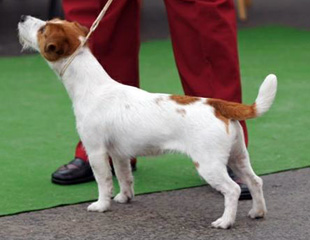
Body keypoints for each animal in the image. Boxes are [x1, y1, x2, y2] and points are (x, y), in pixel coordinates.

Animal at [18, 15, 278, 229]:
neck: (92, 86)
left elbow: (103, 181)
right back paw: (258, 212)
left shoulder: (96, 151)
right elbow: (124, 177)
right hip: (237, 156)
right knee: (255, 181)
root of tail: (216, 104)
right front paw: (124, 198)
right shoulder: (119, 154)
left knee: (232, 190)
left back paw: (225, 221)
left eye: (42, 29)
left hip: (209, 164)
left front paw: (102, 205)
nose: (22, 17)